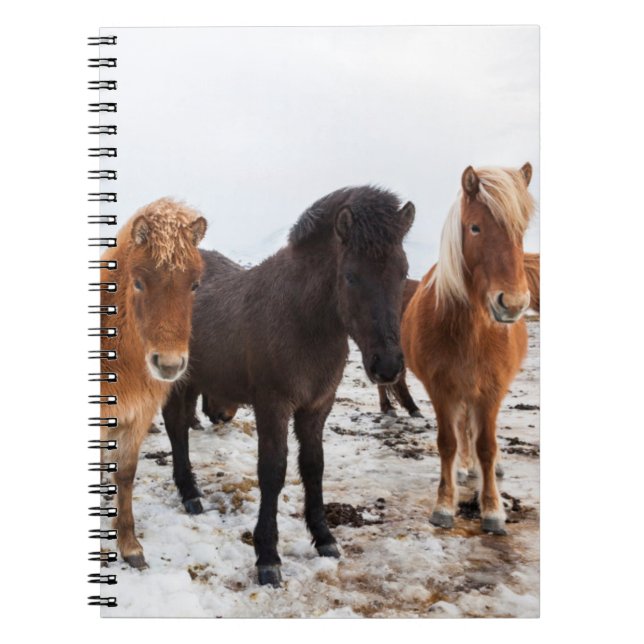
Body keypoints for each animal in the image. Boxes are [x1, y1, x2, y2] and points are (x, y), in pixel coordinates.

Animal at [100, 198, 207, 568]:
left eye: (194, 285)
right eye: (139, 283)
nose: (170, 364)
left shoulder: (137, 418)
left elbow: (124, 474)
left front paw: (129, 545)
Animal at [162, 186, 415, 587]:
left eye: (403, 272)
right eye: (351, 276)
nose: (388, 366)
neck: (301, 318)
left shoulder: (317, 407)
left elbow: (313, 466)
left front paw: (324, 537)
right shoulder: (273, 405)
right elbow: (273, 471)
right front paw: (268, 556)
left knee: (183, 424)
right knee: (175, 427)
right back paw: (189, 494)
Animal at [401, 164, 535, 535]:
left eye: (521, 229)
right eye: (475, 227)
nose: (512, 303)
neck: (471, 332)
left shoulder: (491, 390)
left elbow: (486, 446)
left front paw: (493, 509)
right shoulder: (441, 389)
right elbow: (448, 442)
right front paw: (444, 505)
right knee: (463, 431)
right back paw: (464, 466)